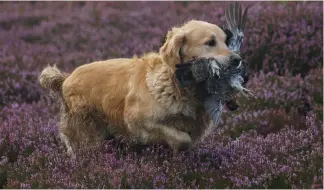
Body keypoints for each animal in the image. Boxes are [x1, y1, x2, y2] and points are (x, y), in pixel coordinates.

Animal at [38, 20, 240, 158]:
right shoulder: (137, 120)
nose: (237, 59)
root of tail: (66, 79)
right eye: (210, 42)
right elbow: (182, 138)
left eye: (226, 41)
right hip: (86, 129)